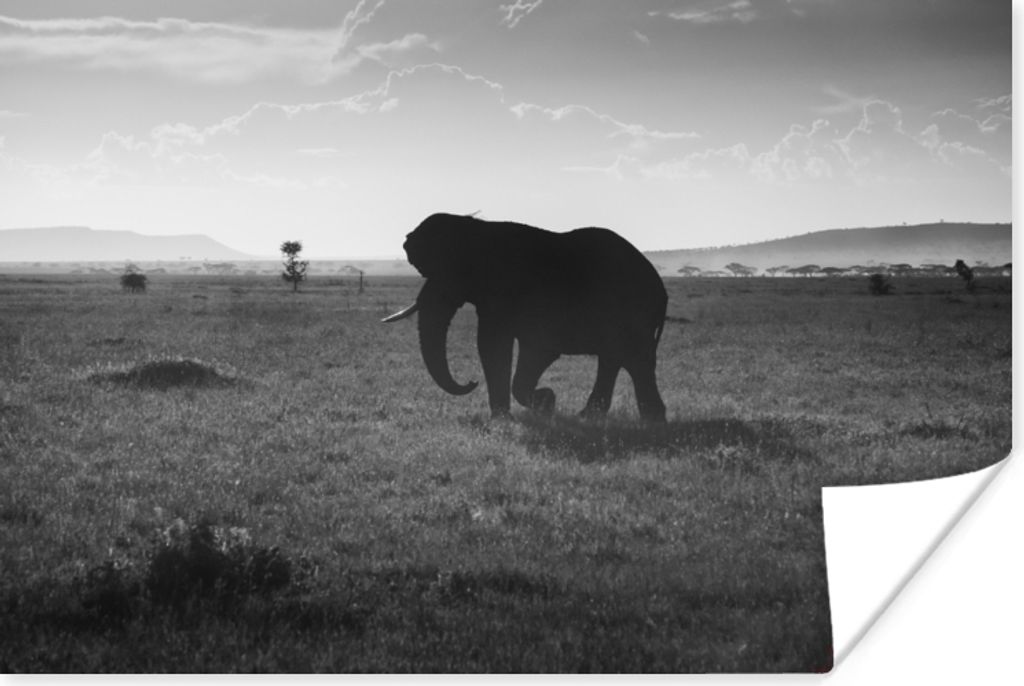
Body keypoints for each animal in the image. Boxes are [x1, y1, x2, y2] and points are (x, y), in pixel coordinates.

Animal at [383, 213, 668, 422]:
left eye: (446, 273)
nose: (471, 381)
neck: (478, 231)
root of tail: (660, 286)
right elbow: (497, 345)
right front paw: (524, 412)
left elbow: (505, 345)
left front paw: (541, 404)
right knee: (619, 359)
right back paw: (594, 417)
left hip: (633, 310)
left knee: (634, 360)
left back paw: (648, 421)